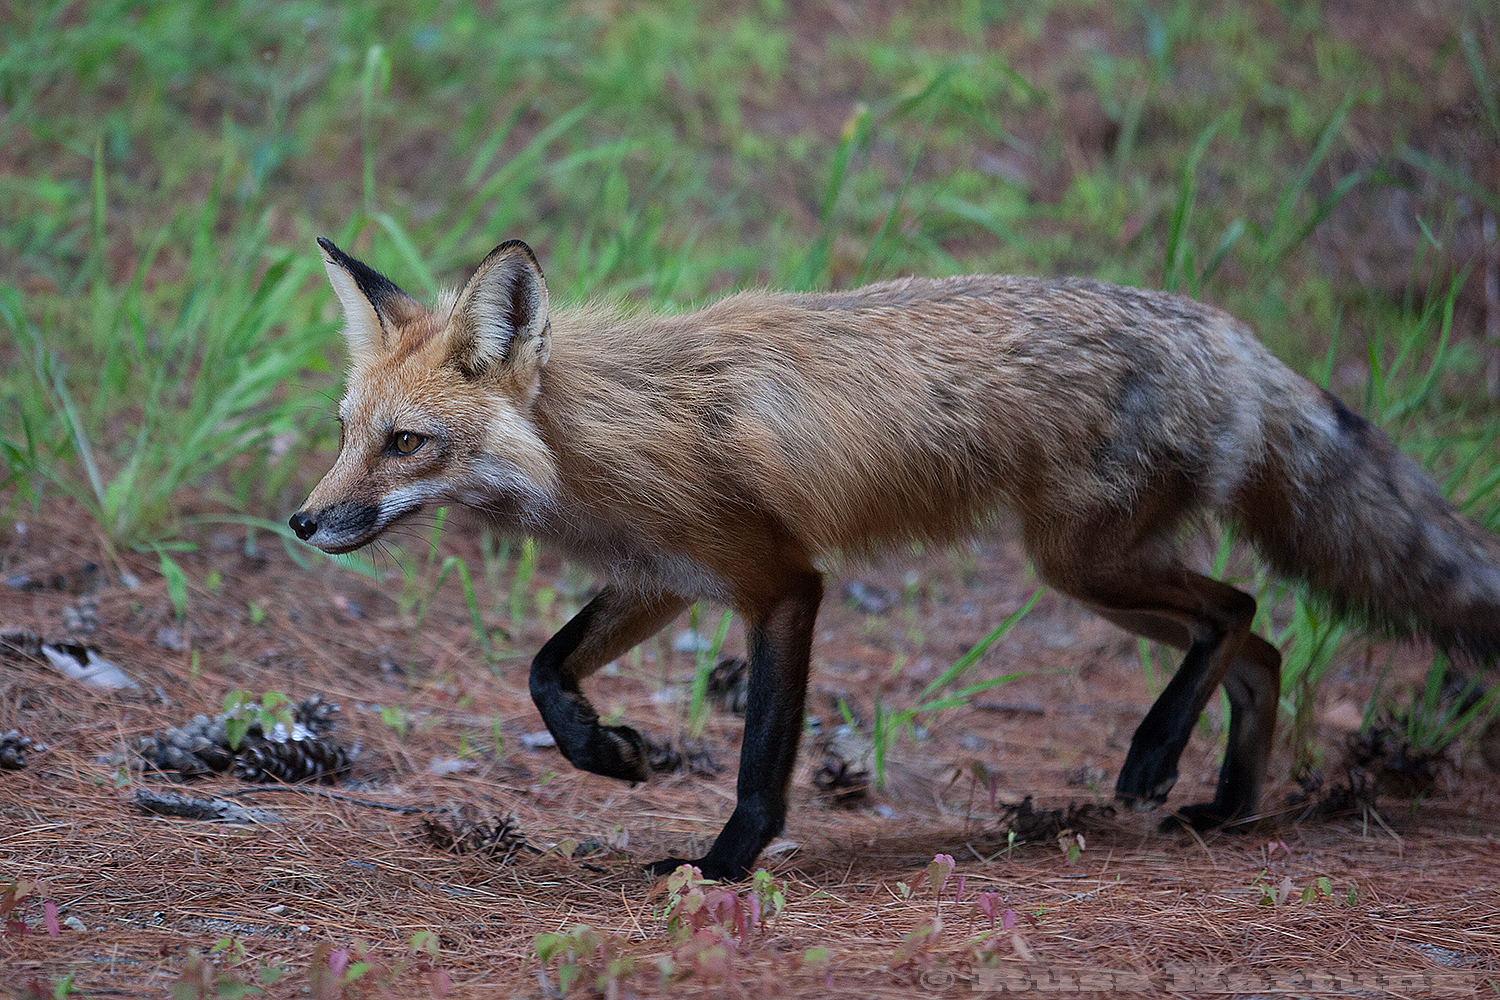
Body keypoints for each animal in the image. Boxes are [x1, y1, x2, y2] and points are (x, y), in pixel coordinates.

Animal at [292, 238, 1500, 881]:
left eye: (407, 443)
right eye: (347, 430)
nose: (303, 523)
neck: (597, 439)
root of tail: (1234, 334)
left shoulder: (780, 584)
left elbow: (763, 760)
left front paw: (723, 864)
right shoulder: (665, 577)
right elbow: (545, 671)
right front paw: (610, 753)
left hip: (1087, 565)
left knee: (1238, 606)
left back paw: (1157, 757)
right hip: (1096, 574)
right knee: (1262, 646)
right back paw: (1231, 803)